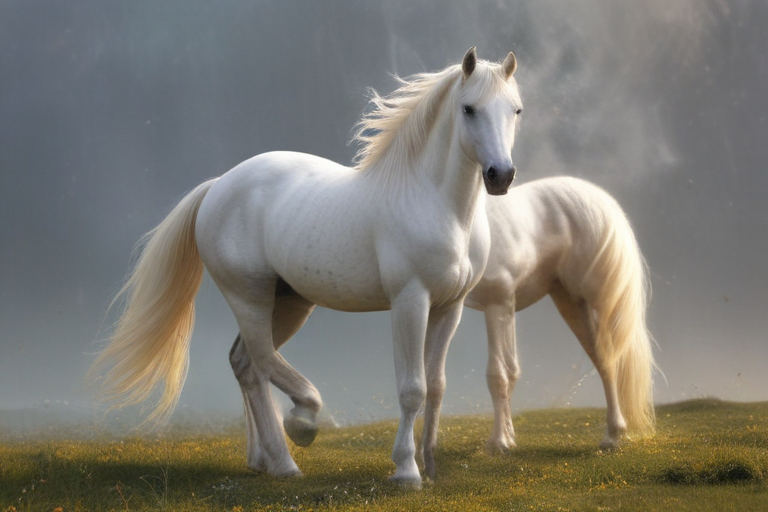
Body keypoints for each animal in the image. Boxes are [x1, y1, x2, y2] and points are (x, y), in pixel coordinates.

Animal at [88, 47, 523, 487]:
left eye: (516, 110)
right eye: (469, 109)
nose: (500, 175)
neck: (436, 204)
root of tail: (218, 185)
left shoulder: (449, 307)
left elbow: (435, 386)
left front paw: (430, 465)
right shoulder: (410, 302)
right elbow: (412, 388)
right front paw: (406, 471)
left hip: (290, 303)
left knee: (245, 363)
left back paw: (263, 459)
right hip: (249, 297)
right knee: (261, 362)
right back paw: (296, 439)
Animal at [463, 176, 655, 453]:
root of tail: (604, 201)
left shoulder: (497, 304)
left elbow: (498, 375)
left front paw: (498, 443)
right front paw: (508, 439)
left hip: (598, 306)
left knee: (609, 360)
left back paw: (613, 435)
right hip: (572, 305)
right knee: (603, 360)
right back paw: (612, 436)